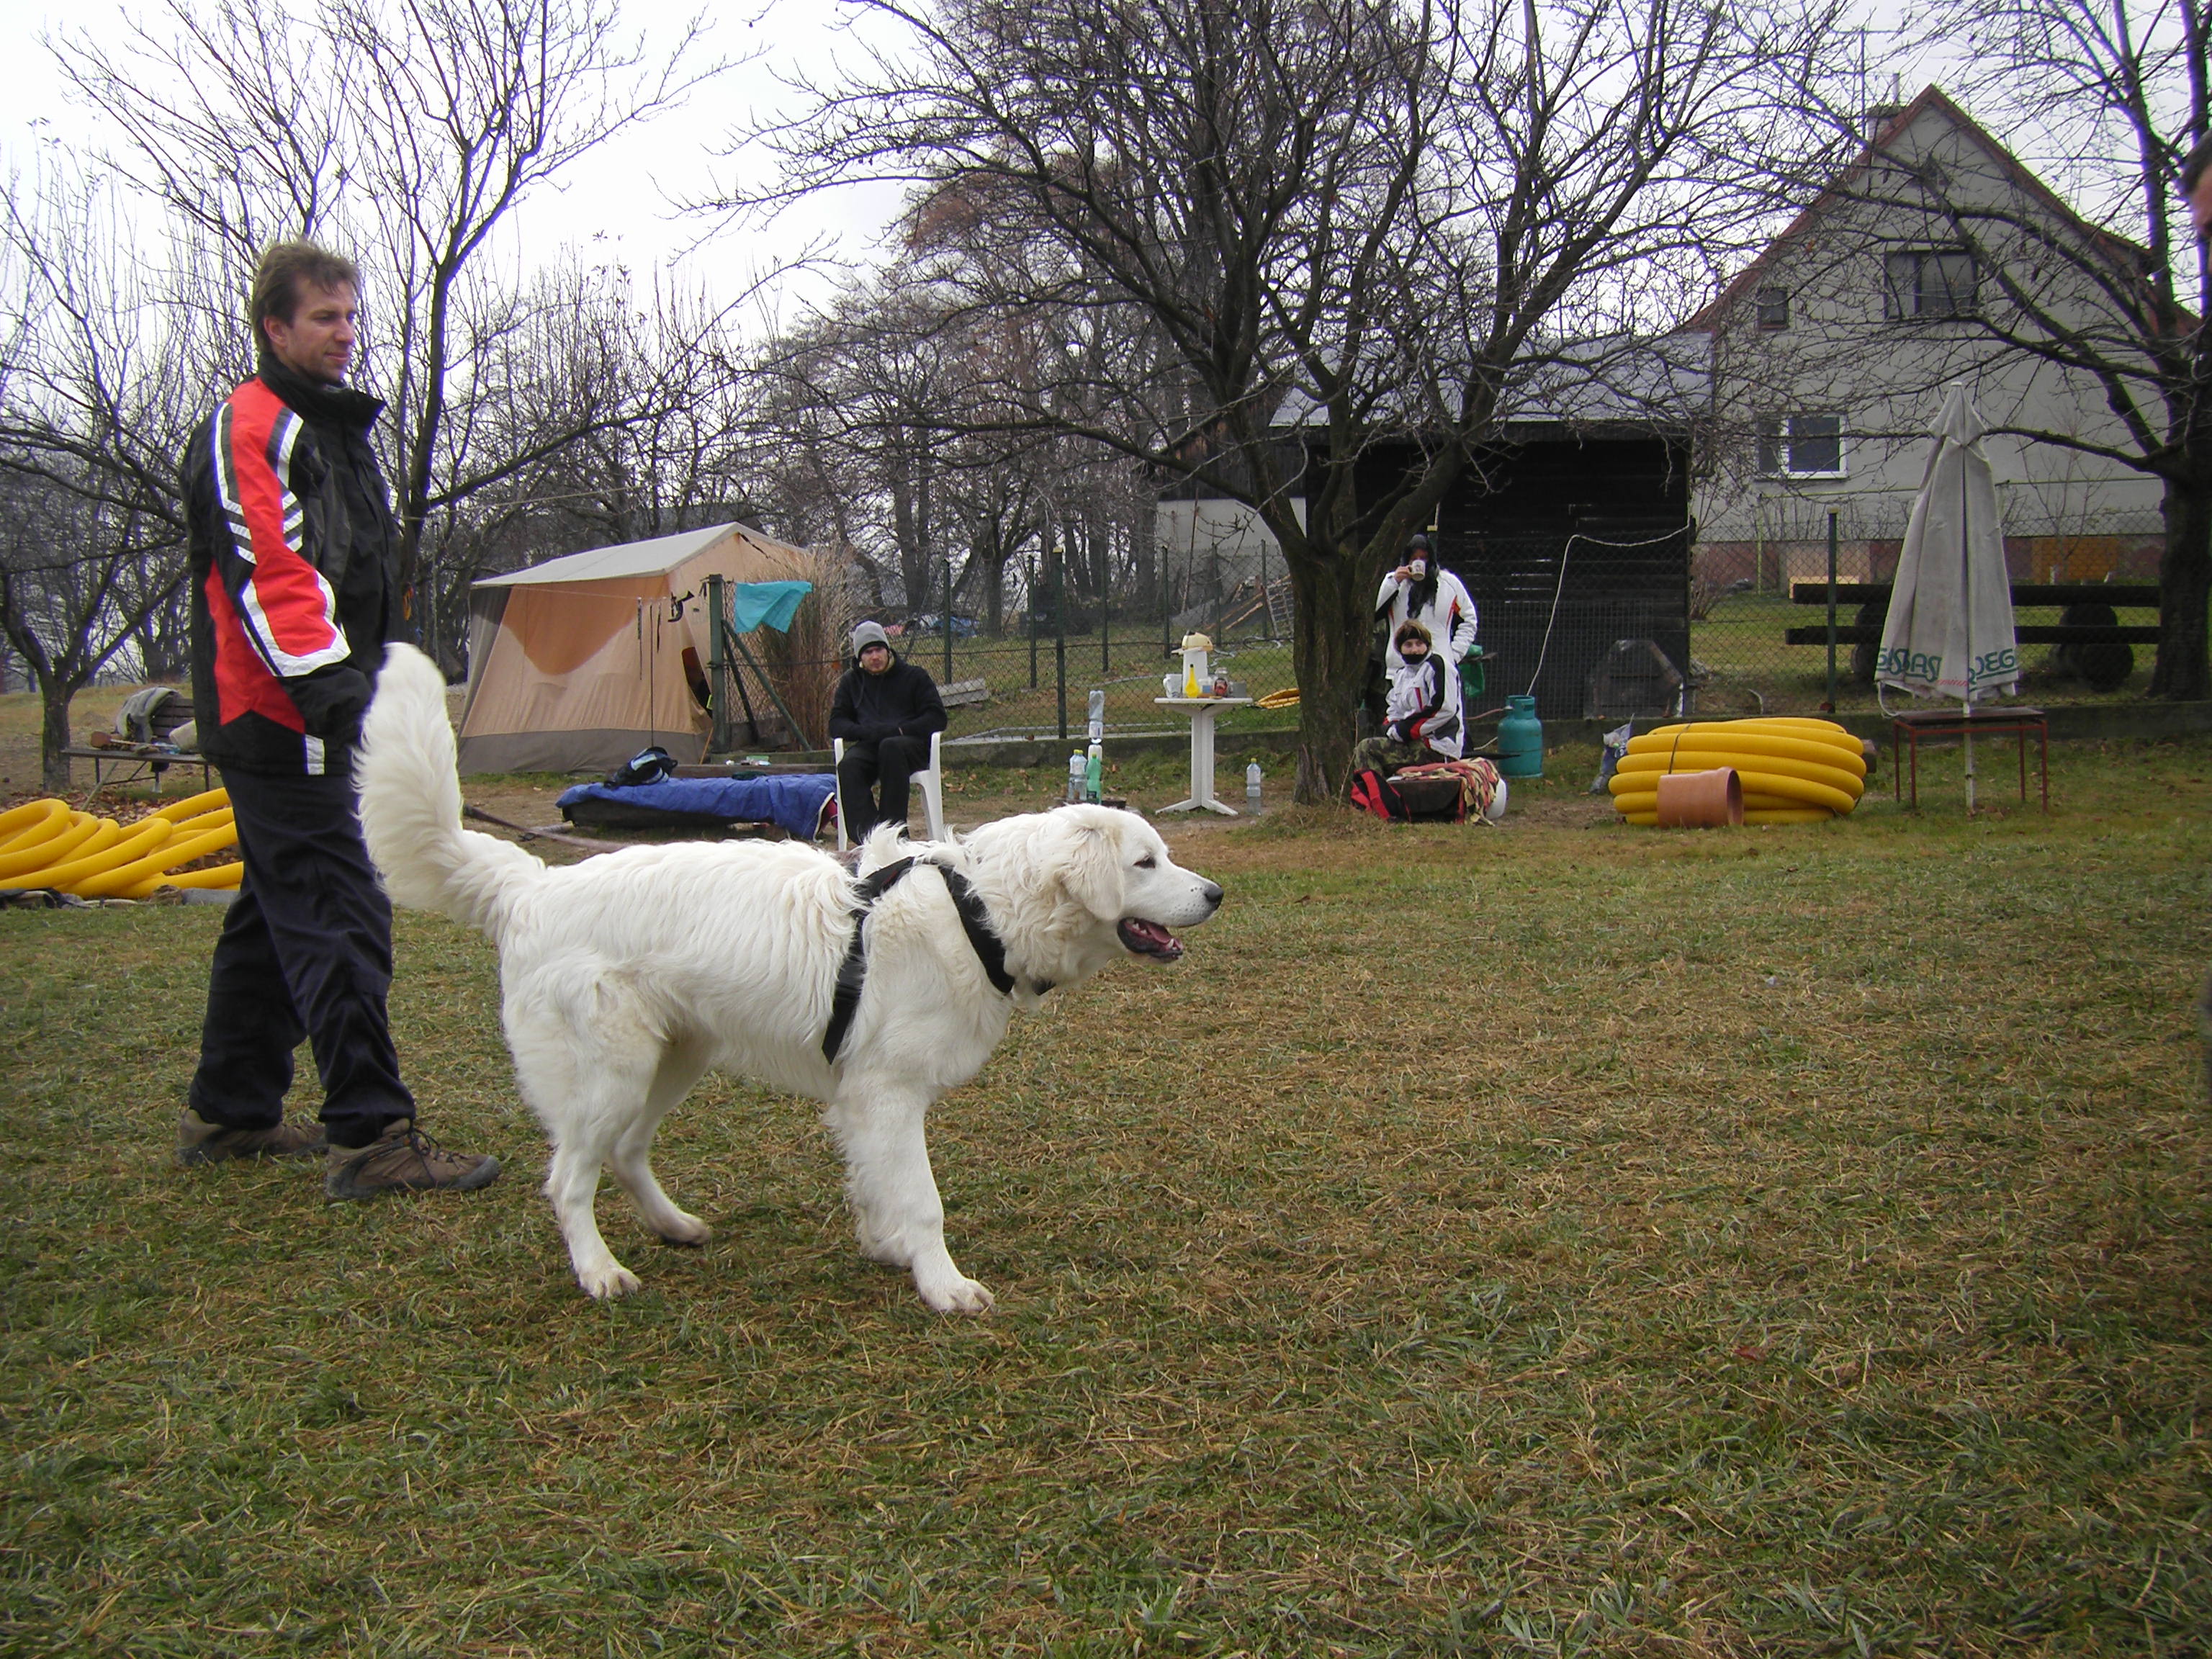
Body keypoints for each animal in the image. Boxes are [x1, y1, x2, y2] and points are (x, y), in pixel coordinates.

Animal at [362, 646, 1230, 1309]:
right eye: (1145, 863)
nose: (1217, 895)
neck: (977, 909)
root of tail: (531, 885)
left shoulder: (862, 1100)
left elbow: (879, 1188)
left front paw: (887, 1247)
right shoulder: (887, 1093)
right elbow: (923, 1201)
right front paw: (943, 1285)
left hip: (674, 1061)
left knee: (627, 1153)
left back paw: (674, 1227)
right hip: (611, 1074)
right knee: (569, 1178)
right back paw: (600, 1270)